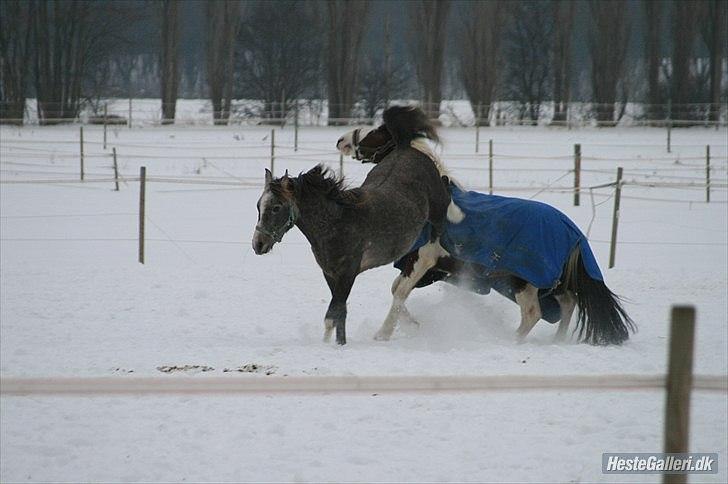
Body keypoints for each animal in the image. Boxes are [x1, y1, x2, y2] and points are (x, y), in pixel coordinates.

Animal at [250, 109, 456, 344]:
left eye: (276, 207)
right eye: (259, 205)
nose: (258, 244)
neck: (337, 223)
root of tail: (405, 146)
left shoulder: (348, 273)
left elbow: (333, 314)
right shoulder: (330, 274)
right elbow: (339, 314)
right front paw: (338, 343)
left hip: (438, 204)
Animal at [338, 124, 636, 344]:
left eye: (378, 131)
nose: (342, 140)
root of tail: (571, 231)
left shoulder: (422, 261)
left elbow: (399, 291)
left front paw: (383, 334)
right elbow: (396, 290)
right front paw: (413, 324)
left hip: (524, 281)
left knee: (533, 312)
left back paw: (510, 341)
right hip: (551, 283)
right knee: (568, 303)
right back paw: (557, 340)